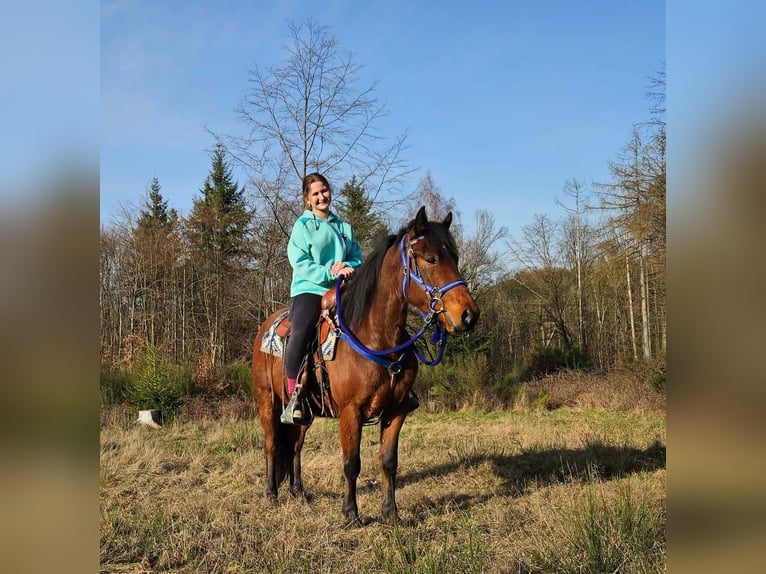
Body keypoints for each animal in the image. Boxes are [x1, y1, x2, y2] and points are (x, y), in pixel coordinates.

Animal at [251, 206, 479, 526]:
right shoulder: (350, 412)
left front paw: (391, 513)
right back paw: (272, 494)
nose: (469, 314)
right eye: (431, 258)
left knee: (295, 446)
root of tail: (265, 327)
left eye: (455, 258)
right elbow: (351, 463)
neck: (376, 337)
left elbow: (388, 461)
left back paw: (299, 493)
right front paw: (351, 514)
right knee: (272, 445)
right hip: (267, 402)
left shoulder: (397, 410)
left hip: (304, 413)